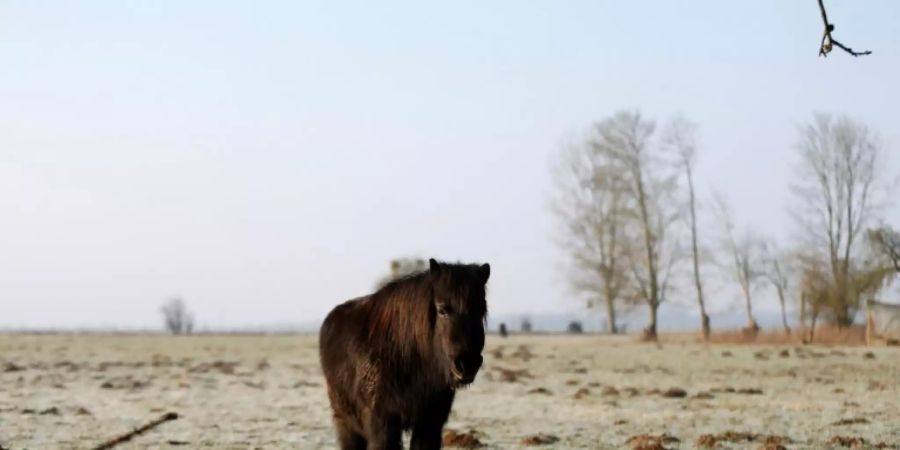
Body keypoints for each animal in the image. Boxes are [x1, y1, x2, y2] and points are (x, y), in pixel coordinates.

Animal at [320, 258, 492, 448]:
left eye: (481, 310)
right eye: (442, 310)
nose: (467, 364)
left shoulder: (429, 424)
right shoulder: (382, 427)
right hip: (345, 423)